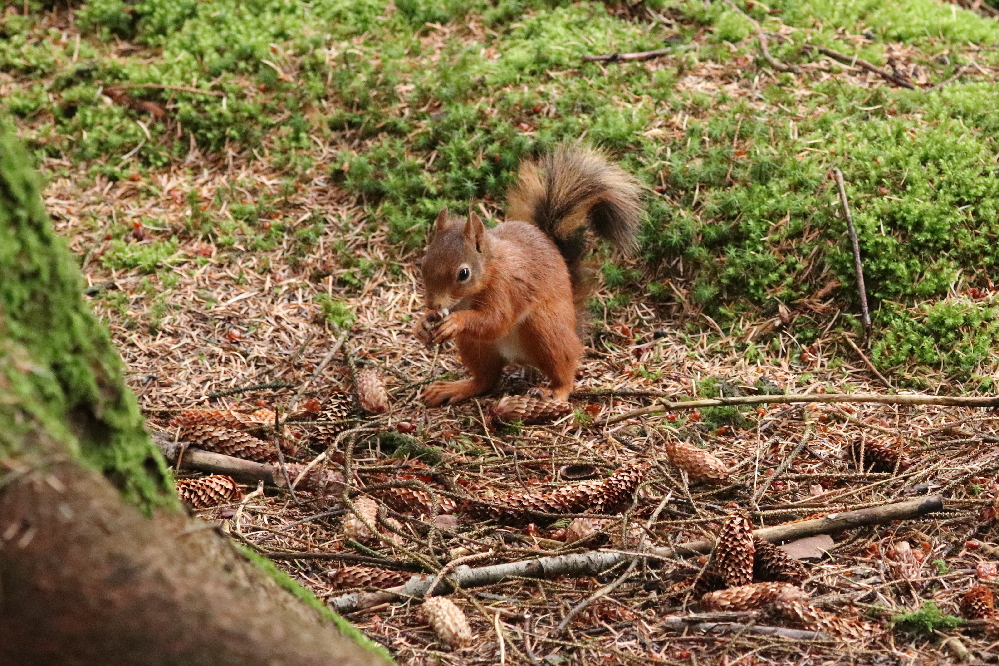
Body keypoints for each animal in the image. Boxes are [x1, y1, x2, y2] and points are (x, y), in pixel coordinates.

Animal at [412, 145, 640, 404]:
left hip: (546, 329)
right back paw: (454, 388)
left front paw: (456, 321)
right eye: (423, 263)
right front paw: (423, 323)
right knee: (486, 379)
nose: (432, 303)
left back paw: (557, 393)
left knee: (565, 368)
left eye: (464, 273)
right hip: (475, 346)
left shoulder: (506, 288)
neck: (491, 269)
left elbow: (497, 320)